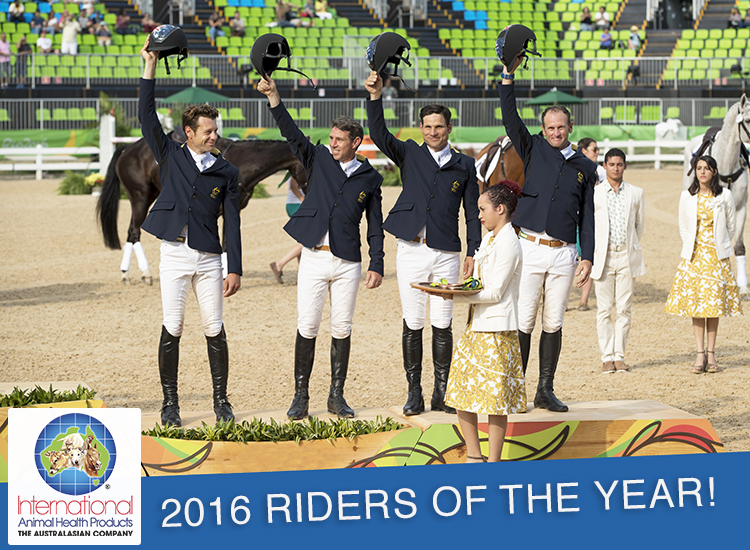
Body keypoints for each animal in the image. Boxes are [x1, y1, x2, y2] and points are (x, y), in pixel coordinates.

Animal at [98, 137, 306, 284]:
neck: (243, 161)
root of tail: (127, 149)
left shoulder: (234, 209)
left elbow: (226, 242)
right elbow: (224, 243)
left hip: (149, 195)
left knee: (131, 233)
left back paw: (127, 273)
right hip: (139, 197)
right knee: (134, 231)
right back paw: (144, 273)